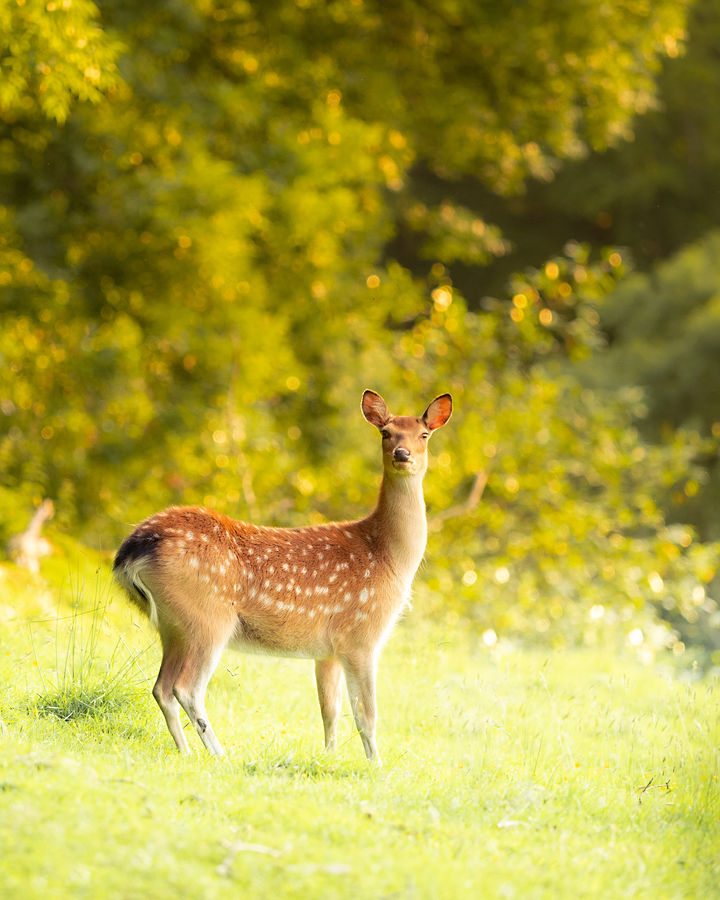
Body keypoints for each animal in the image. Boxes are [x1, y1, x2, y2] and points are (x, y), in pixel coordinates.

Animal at [113, 390, 452, 762]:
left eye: (424, 434)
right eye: (385, 433)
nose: (402, 454)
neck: (387, 557)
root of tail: (132, 550)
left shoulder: (327, 650)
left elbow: (329, 711)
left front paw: (329, 757)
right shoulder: (361, 634)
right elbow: (366, 714)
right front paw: (375, 764)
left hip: (172, 625)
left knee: (161, 687)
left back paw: (186, 752)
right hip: (207, 618)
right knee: (185, 688)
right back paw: (220, 753)